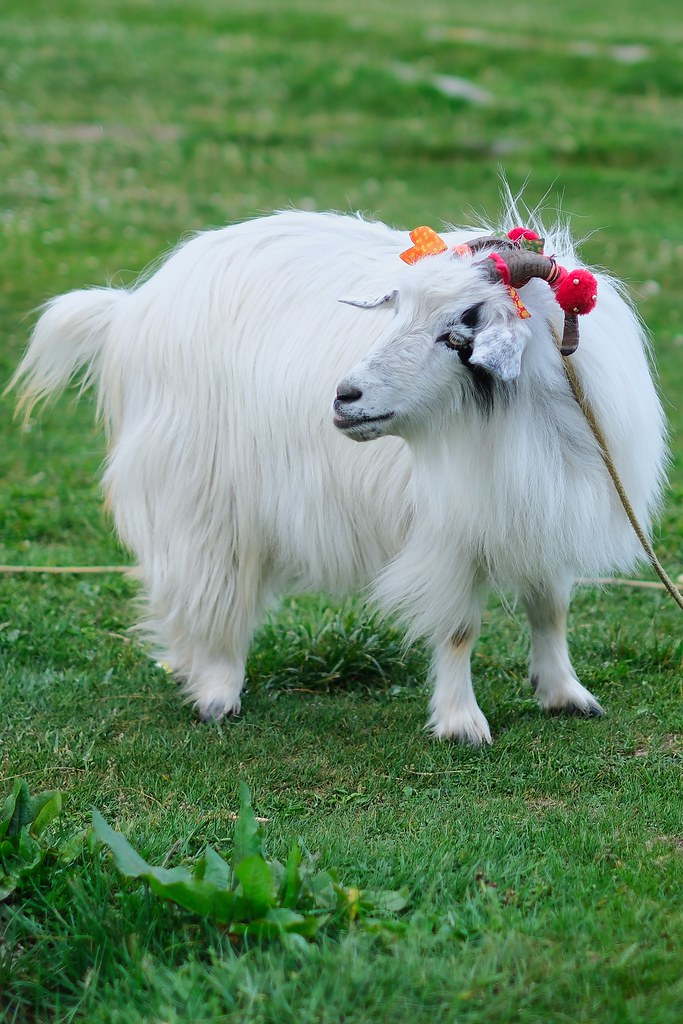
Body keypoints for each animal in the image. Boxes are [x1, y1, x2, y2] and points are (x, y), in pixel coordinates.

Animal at [11, 206, 667, 744]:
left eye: (463, 325)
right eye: (398, 310)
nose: (345, 397)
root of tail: (132, 309)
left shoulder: (544, 505)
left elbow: (550, 608)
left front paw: (565, 695)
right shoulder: (448, 528)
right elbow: (459, 628)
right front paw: (462, 724)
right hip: (197, 489)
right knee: (211, 588)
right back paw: (217, 692)